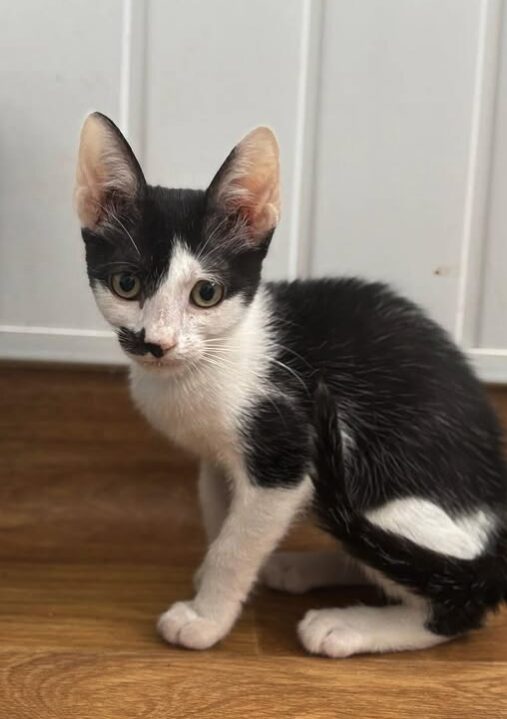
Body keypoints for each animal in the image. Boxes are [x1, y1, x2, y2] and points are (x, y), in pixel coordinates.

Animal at [74, 112, 507, 660]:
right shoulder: (216, 460)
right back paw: (298, 568)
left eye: (206, 293)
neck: (205, 364)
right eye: (126, 285)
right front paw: (212, 581)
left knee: (455, 602)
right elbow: (219, 516)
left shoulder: (285, 456)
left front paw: (206, 618)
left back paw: (348, 625)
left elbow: (236, 545)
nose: (157, 343)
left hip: (380, 490)